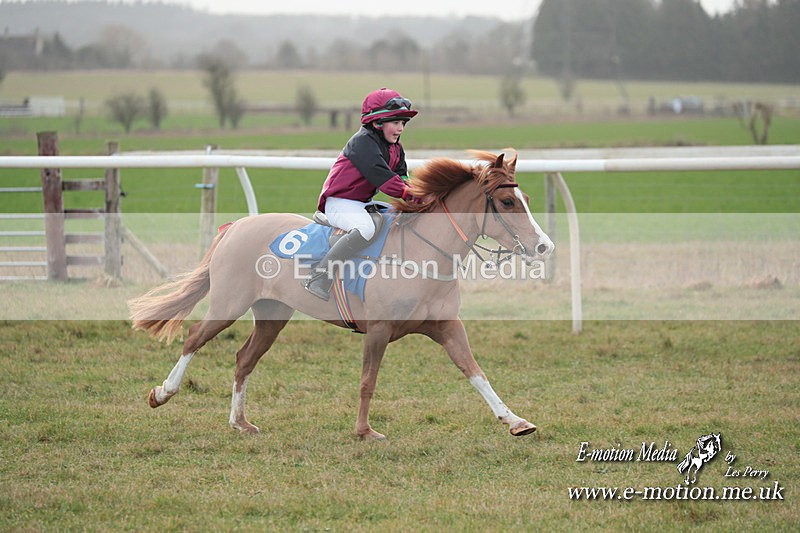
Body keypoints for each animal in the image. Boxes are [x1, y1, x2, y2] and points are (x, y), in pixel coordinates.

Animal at [128, 150, 554, 440]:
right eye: (507, 202)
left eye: (527, 200)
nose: (544, 247)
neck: (422, 255)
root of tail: (235, 227)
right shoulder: (378, 330)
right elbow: (368, 380)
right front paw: (365, 431)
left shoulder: (447, 327)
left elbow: (476, 372)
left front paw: (515, 420)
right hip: (228, 304)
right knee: (193, 338)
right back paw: (162, 393)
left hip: (272, 315)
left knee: (244, 358)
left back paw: (240, 422)